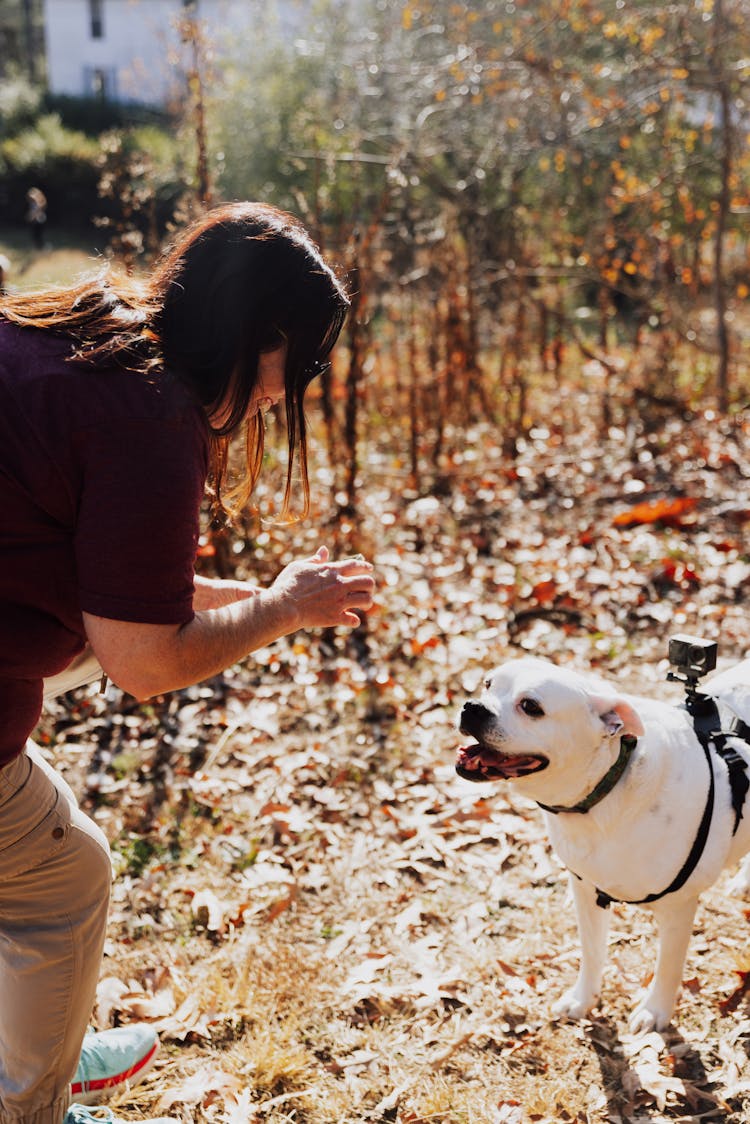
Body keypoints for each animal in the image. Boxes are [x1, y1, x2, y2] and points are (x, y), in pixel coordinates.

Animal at [458, 656, 750, 1029]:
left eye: (531, 707)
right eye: (488, 685)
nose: (472, 707)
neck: (605, 791)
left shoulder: (678, 909)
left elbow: (668, 966)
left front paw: (655, 1011)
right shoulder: (586, 891)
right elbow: (592, 952)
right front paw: (583, 1000)